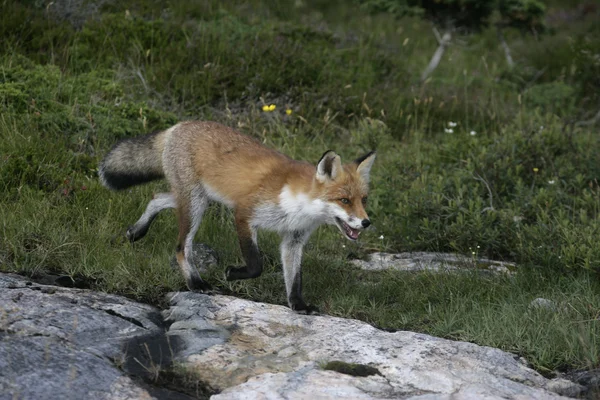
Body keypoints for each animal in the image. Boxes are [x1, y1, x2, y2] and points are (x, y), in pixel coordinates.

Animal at [101, 120, 378, 314]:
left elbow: (295, 278)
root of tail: (179, 125)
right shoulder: (244, 214)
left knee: (156, 196)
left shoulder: (294, 239)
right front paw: (232, 274)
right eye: (344, 200)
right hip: (195, 205)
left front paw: (299, 305)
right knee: (181, 247)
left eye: (363, 200)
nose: (366, 222)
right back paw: (195, 283)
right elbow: (256, 264)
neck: (298, 206)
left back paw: (136, 231)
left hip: (197, 199)